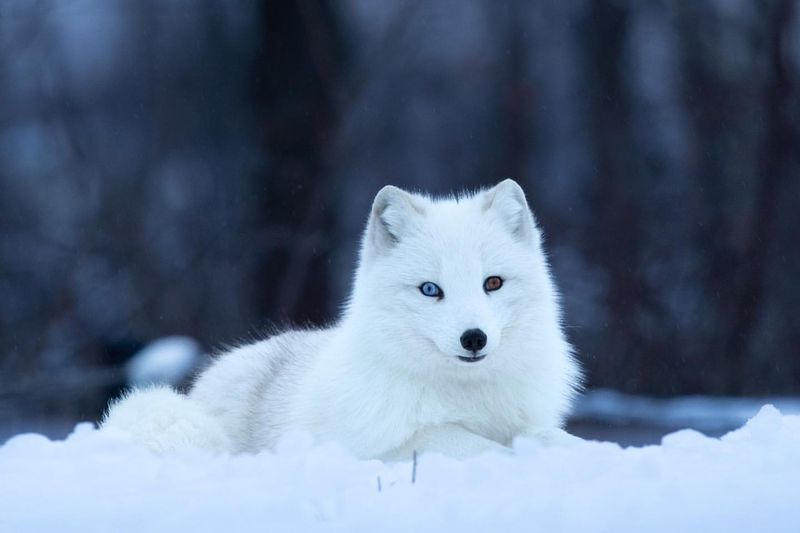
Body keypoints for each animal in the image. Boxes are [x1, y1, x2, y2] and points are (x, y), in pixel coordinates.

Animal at [104, 179, 580, 458]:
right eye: (431, 290)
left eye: (493, 283)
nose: (474, 338)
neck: (467, 394)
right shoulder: (386, 446)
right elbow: (476, 445)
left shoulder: (526, 421)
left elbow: (549, 438)